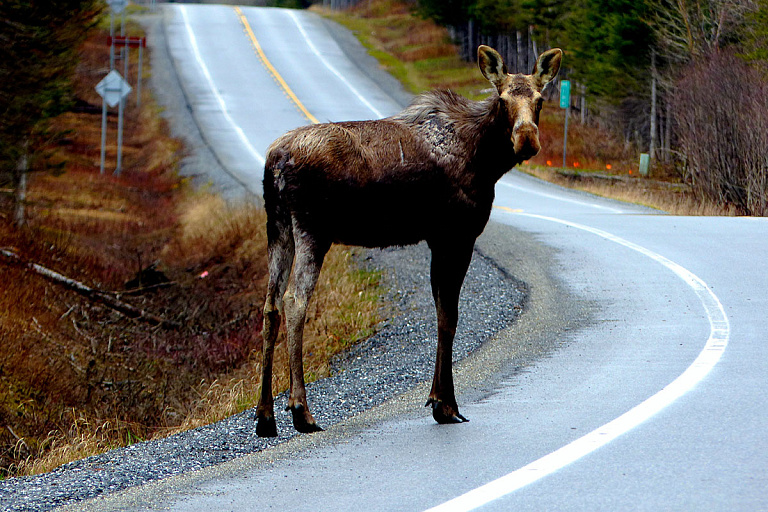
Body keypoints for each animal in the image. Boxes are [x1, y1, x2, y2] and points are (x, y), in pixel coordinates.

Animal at [255, 45, 560, 436]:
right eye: (503, 98)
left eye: (540, 99)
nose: (526, 140)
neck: (486, 160)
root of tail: (275, 161)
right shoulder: (456, 234)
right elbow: (449, 317)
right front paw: (446, 404)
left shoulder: (436, 239)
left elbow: (442, 312)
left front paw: (438, 399)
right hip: (312, 229)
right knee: (295, 301)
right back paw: (300, 409)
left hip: (277, 227)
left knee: (270, 305)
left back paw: (265, 415)